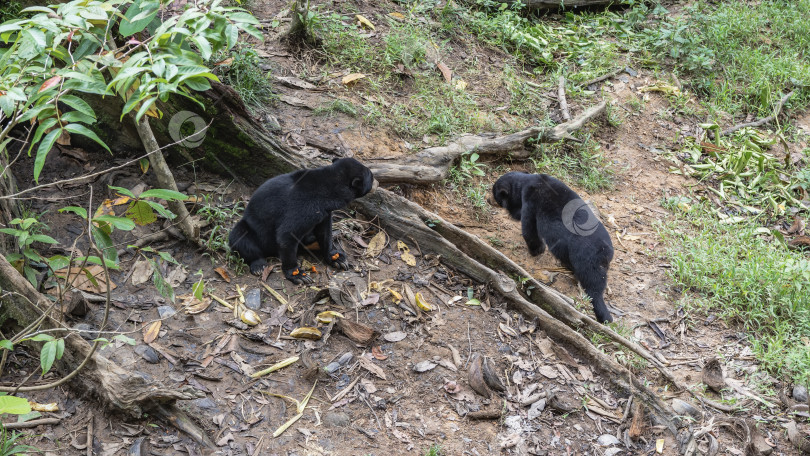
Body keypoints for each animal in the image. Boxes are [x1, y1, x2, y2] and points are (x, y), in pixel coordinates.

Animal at [229, 159, 378, 284]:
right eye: (371, 176)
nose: (377, 182)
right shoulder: (305, 207)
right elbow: (286, 235)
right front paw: (298, 274)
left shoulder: (323, 212)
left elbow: (324, 232)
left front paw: (337, 258)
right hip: (250, 229)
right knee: (240, 237)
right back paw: (259, 266)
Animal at [490, 172, 616, 324]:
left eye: (494, 194)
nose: (488, 199)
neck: (525, 181)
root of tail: (606, 252)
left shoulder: (530, 201)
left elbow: (529, 228)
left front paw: (537, 250)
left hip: (586, 259)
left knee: (594, 287)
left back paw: (604, 316)